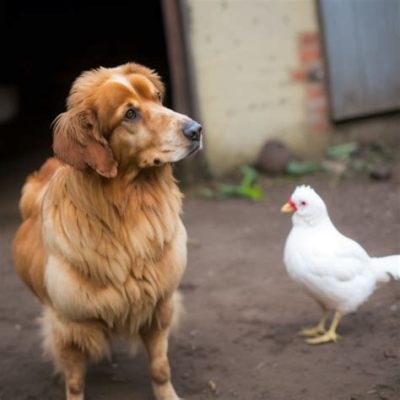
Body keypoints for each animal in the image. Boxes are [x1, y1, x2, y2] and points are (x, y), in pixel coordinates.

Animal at [13, 62, 202, 400]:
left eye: (157, 97)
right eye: (130, 114)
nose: (196, 130)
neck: (128, 208)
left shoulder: (159, 306)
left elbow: (160, 368)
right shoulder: (69, 325)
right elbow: (75, 383)